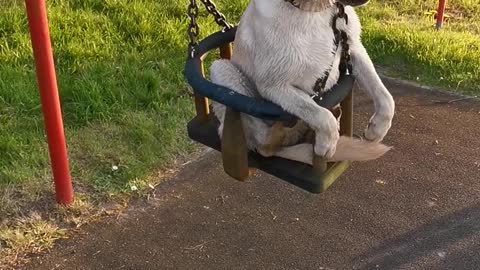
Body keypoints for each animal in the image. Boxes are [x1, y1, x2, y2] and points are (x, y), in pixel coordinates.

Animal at [209, 0, 394, 165]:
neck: (312, 10)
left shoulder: (354, 49)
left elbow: (385, 96)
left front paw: (377, 129)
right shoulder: (273, 85)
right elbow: (320, 115)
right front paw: (326, 145)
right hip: (221, 68)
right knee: (264, 144)